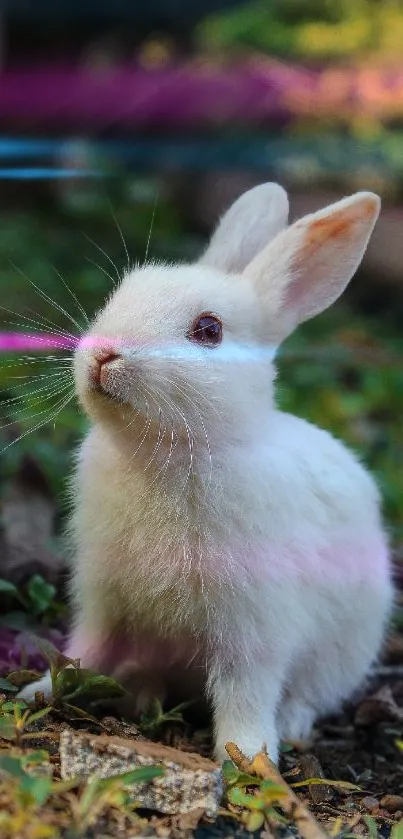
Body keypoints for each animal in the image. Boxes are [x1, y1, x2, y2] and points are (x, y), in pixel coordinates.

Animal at [19, 187, 392, 764]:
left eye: (209, 331)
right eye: (120, 294)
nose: (103, 354)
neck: (166, 452)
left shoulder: (253, 625)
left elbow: (246, 690)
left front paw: (249, 757)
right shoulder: (103, 598)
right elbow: (87, 648)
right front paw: (40, 690)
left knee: (308, 694)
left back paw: (291, 726)